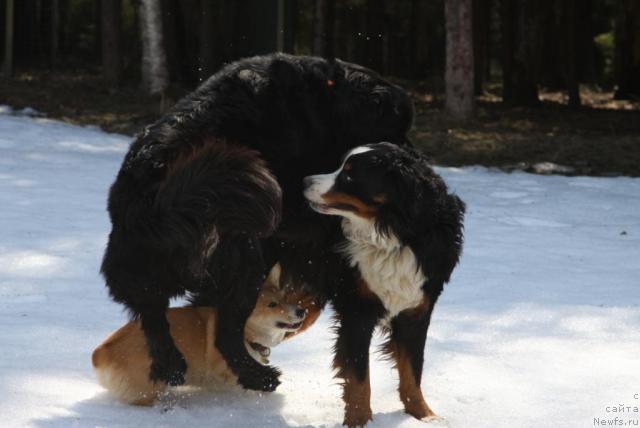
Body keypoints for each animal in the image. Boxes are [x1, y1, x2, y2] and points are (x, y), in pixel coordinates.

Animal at [302, 143, 462, 424]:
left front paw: (423, 416)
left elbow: (413, 370)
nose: (304, 181)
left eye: (349, 175)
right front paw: (359, 421)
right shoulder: (358, 310)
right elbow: (359, 378)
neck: (395, 235)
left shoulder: (417, 312)